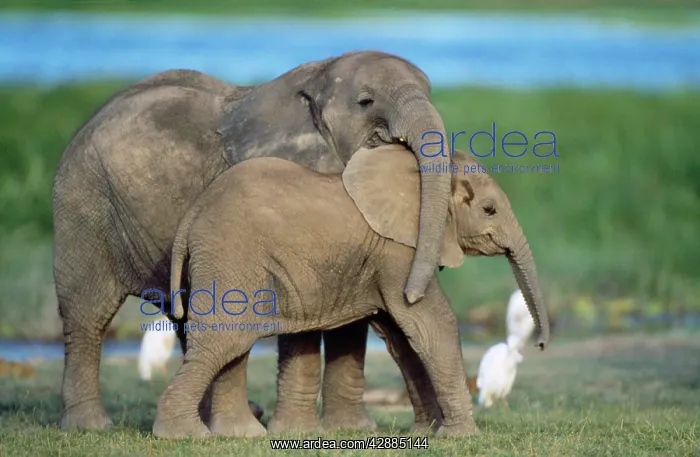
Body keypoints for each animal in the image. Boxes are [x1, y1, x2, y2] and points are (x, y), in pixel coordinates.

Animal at [52, 51, 454, 431]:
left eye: (431, 91)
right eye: (366, 102)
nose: (413, 292)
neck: (318, 77)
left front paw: (350, 431)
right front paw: (298, 432)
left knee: (187, 318)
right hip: (83, 207)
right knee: (88, 315)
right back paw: (91, 425)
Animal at [152, 144, 550, 439]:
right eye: (489, 209)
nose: (542, 344)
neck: (431, 175)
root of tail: (194, 213)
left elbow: (402, 337)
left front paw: (428, 433)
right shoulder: (398, 251)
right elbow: (432, 325)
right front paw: (462, 437)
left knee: (233, 342)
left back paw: (238, 435)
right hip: (231, 255)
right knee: (225, 339)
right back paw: (183, 435)